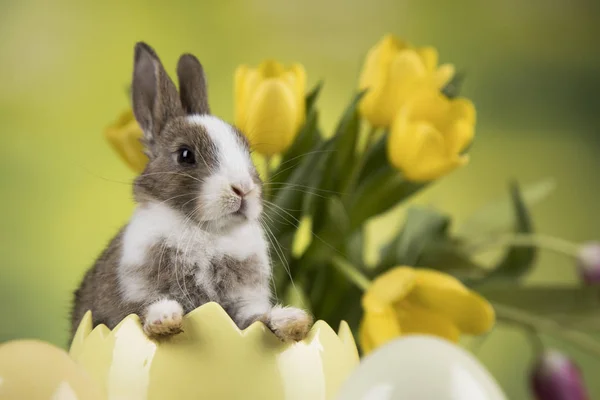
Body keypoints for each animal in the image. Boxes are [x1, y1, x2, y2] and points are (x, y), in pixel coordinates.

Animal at [70, 43, 314, 344]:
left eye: (247, 150)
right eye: (185, 155)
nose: (243, 189)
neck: (208, 233)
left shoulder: (244, 304)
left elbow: (257, 318)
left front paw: (293, 321)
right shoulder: (130, 295)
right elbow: (140, 310)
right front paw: (165, 320)